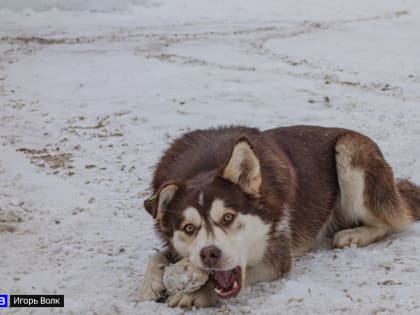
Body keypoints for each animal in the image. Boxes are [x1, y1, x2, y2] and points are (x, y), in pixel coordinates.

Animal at [139, 126, 420, 308]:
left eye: (228, 218)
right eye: (189, 228)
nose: (210, 254)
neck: (204, 165)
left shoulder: (276, 258)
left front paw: (199, 293)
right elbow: (157, 255)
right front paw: (150, 284)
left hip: (349, 151)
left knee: (391, 222)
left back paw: (354, 235)